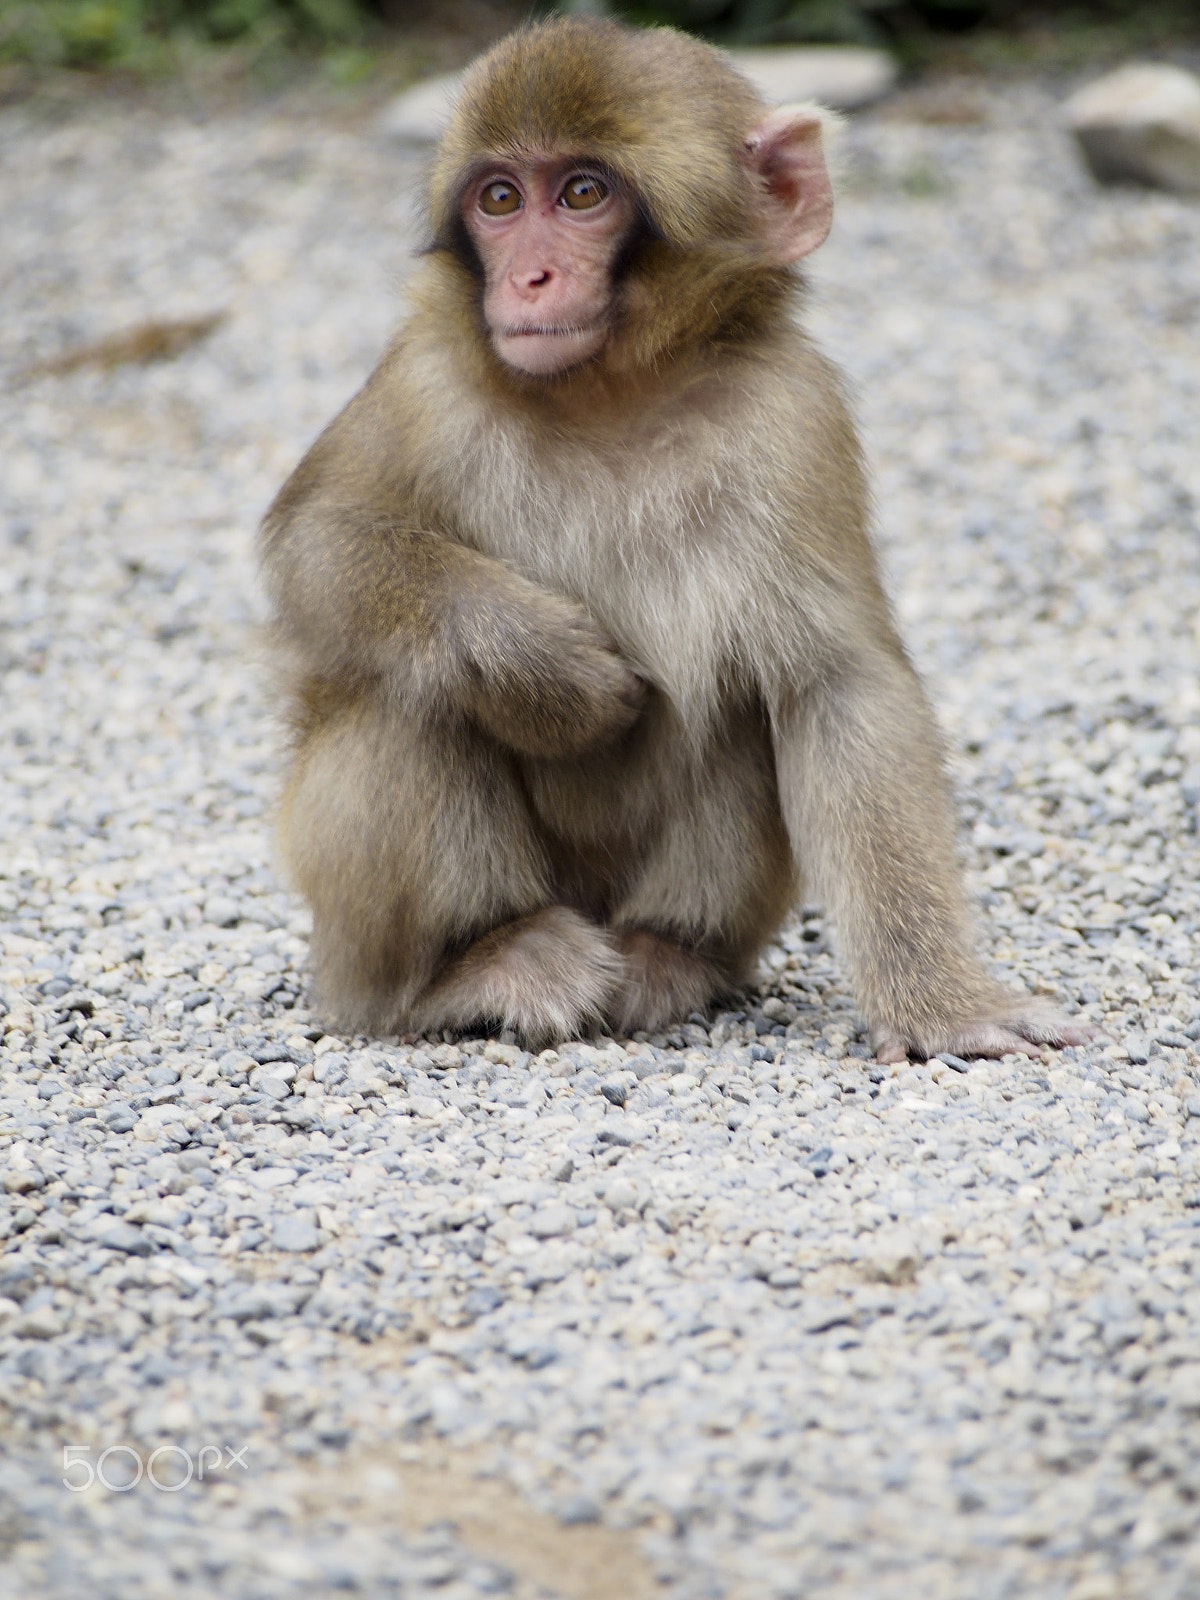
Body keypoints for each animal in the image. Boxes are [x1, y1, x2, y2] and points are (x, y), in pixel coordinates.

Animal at [259, 16, 1092, 1064]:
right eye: (501, 200)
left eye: (582, 194)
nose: (528, 276)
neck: (608, 390)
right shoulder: (425, 377)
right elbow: (319, 541)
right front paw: (548, 667)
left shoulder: (793, 415)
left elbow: (838, 685)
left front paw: (944, 1002)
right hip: (360, 951)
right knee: (409, 688)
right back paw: (478, 964)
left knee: (735, 704)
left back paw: (671, 955)